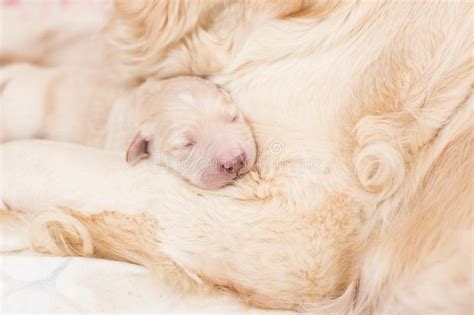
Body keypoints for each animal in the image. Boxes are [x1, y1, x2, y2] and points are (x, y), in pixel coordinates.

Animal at [0, 63, 256, 189]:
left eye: (233, 118)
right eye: (185, 144)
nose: (234, 161)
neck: (143, 102)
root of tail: (19, 72)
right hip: (21, 116)